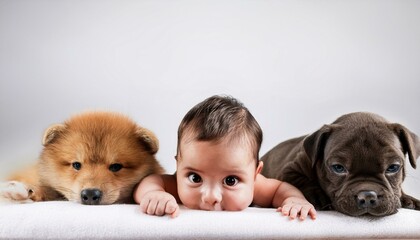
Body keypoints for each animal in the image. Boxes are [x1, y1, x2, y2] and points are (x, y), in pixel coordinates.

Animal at [262, 111, 420, 217]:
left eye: (393, 167)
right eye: (338, 168)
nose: (367, 196)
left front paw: (409, 199)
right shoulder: (289, 171)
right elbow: (302, 181)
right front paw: (317, 196)